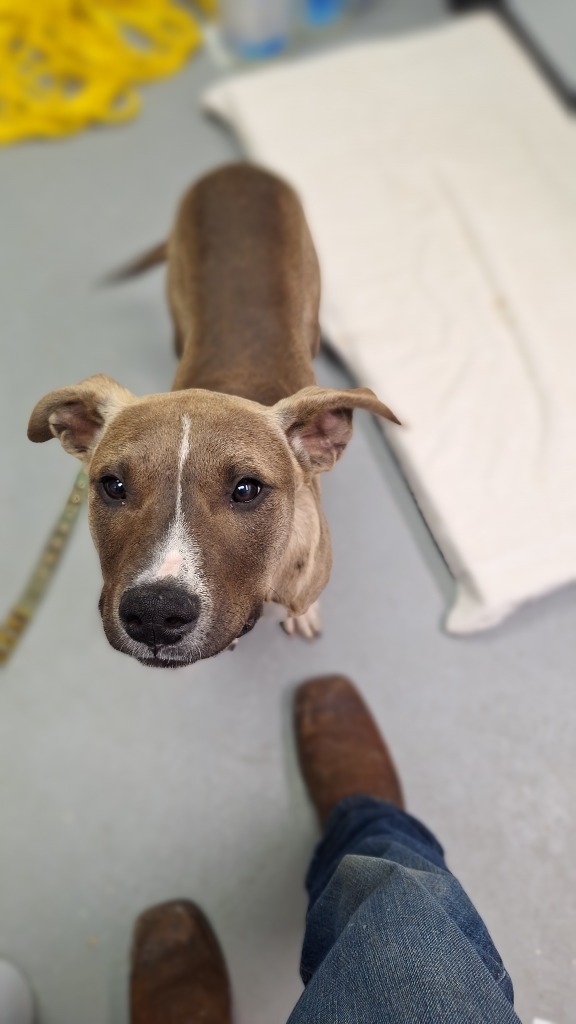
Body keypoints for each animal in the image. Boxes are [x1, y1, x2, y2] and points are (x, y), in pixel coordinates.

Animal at [26, 163, 393, 667]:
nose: (155, 613)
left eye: (247, 489)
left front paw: (303, 615)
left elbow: (302, 600)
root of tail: (237, 167)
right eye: (112, 485)